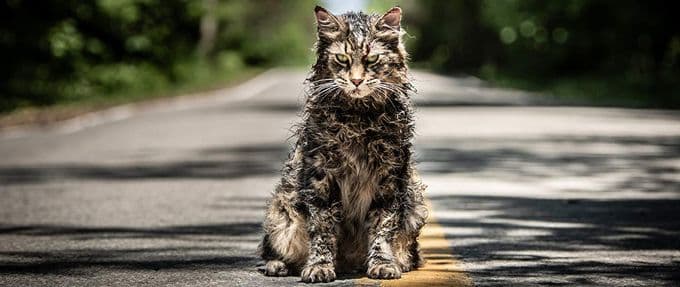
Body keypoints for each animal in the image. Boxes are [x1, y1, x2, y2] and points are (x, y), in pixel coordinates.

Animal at [258, 6, 428, 284]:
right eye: (342, 58)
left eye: (372, 60)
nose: (356, 81)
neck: (358, 118)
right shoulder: (321, 177)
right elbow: (323, 229)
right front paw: (319, 267)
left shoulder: (389, 178)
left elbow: (383, 228)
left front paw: (383, 264)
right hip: (281, 212)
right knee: (271, 250)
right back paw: (278, 265)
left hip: (415, 205)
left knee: (408, 253)